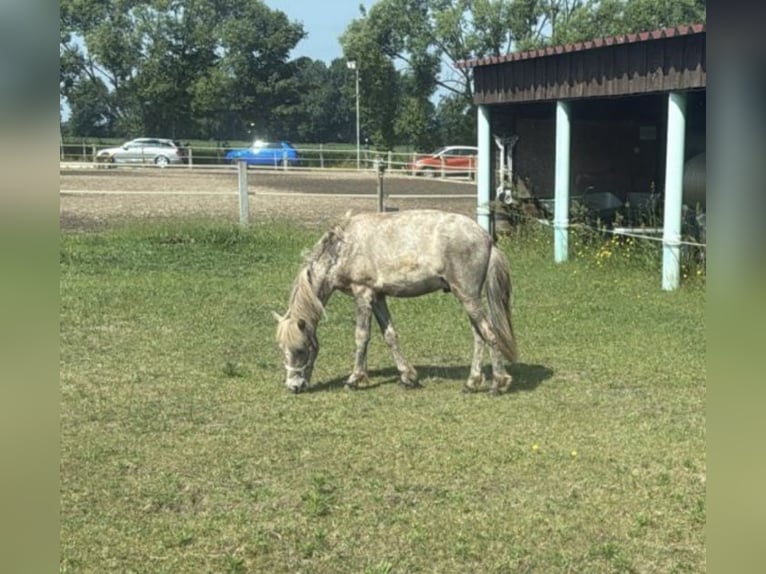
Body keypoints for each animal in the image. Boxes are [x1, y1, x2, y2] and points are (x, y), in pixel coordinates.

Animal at [273, 209, 518, 394]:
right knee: (478, 336)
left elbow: (361, 337)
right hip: (468, 299)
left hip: (468, 297)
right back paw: (472, 382)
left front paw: (354, 379)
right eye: (282, 349)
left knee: (489, 333)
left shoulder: (362, 294)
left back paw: (498, 383)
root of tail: (486, 238)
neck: (343, 248)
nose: (294, 386)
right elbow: (390, 335)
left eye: (301, 349)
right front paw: (408, 376)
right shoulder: (378, 297)